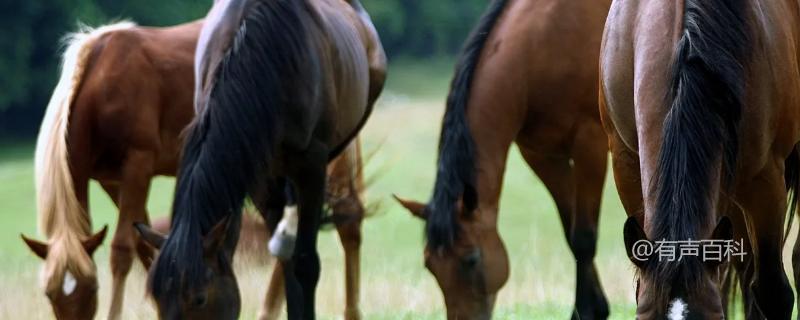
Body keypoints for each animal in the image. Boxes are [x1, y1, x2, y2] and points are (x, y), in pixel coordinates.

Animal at [21, 20, 203, 320]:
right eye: (49, 293)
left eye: (93, 287)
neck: (102, 87)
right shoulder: (111, 181)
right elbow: (145, 246)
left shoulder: (138, 165)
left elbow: (122, 250)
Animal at [134, 0, 388, 318]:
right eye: (156, 298)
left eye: (200, 298)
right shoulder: (257, 174)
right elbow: (287, 262)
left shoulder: (312, 164)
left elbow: (305, 263)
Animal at [394, 0, 612, 318]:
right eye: (430, 265)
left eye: (471, 260)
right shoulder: (543, 156)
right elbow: (570, 232)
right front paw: (596, 307)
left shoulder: (589, 145)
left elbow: (583, 237)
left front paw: (586, 310)